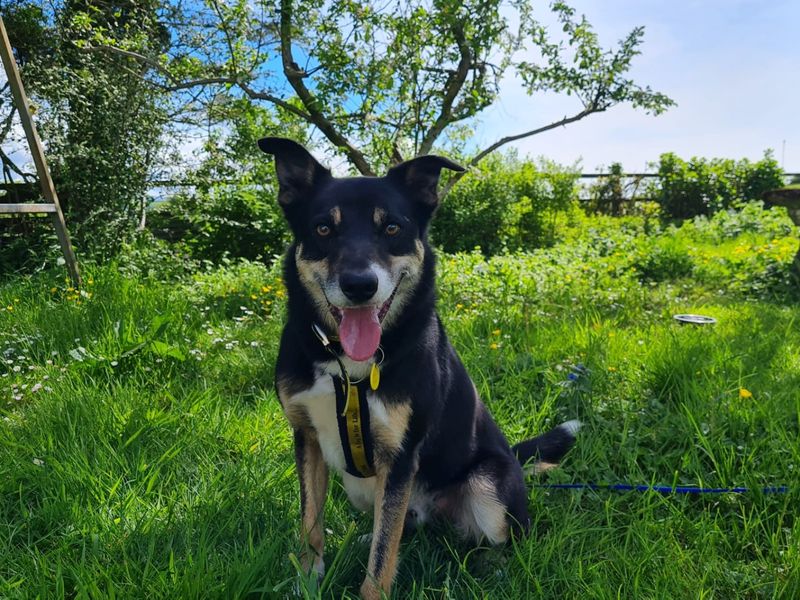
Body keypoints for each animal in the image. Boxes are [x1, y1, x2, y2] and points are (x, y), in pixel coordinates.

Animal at [260, 138, 580, 596]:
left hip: (488, 487)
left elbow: (381, 561)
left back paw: (493, 567)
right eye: (323, 229)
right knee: (398, 527)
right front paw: (308, 580)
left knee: (509, 538)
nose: (360, 286)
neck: (347, 368)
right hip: (360, 486)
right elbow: (311, 524)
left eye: (392, 228)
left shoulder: (400, 455)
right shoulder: (307, 438)